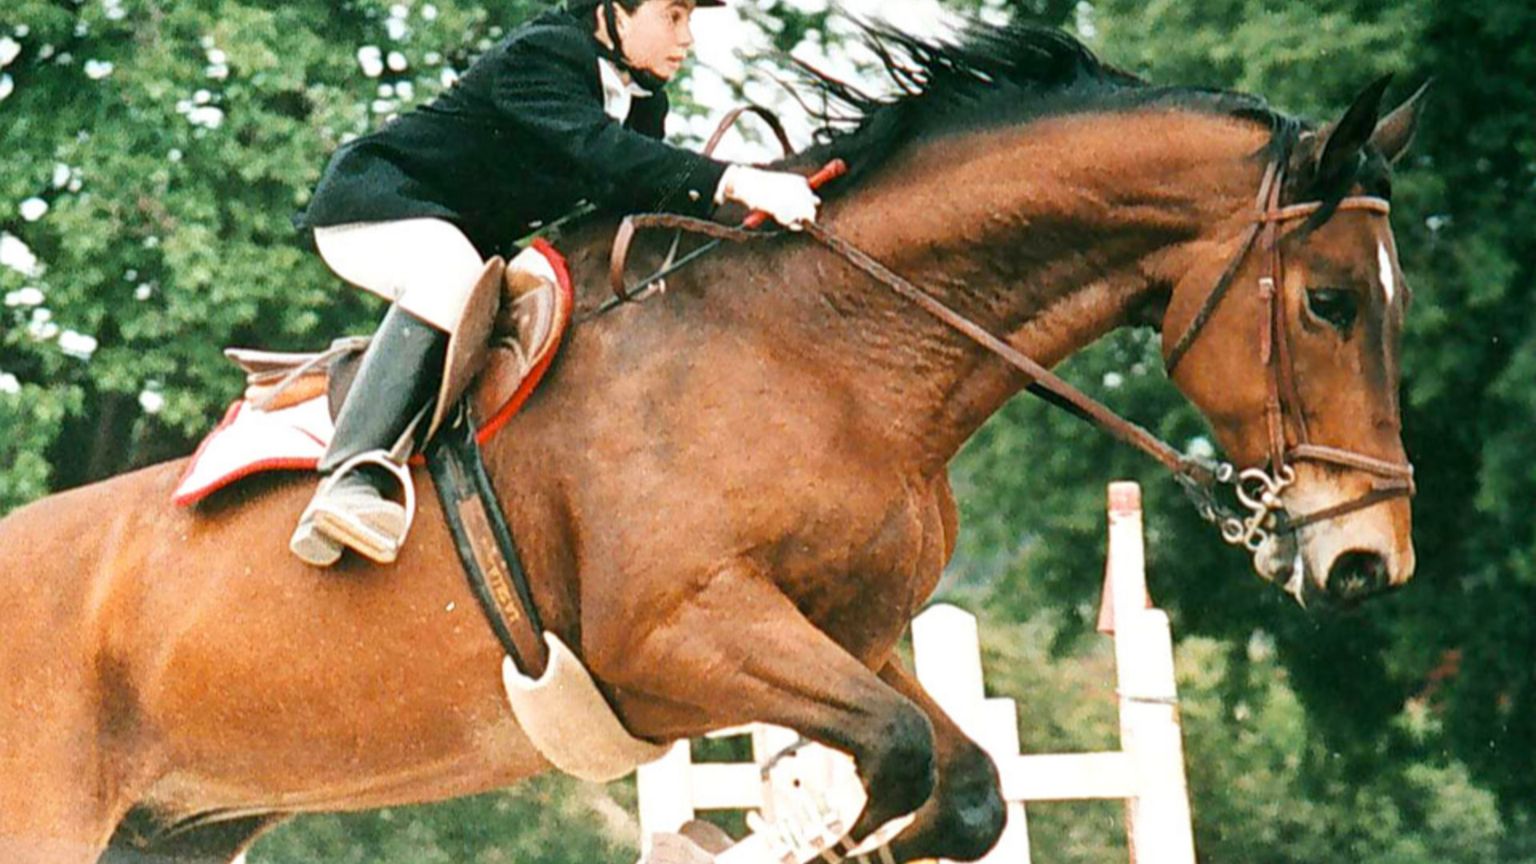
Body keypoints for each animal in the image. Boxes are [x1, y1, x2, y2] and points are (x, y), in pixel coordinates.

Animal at [0, 22, 1423, 864]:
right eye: (1330, 304)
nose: (1370, 565)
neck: (832, 349)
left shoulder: (847, 636)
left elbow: (959, 784)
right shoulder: (678, 637)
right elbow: (897, 761)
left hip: (178, 830)